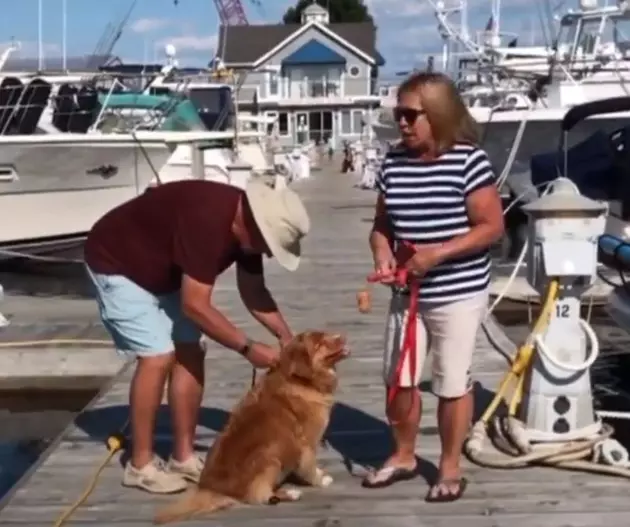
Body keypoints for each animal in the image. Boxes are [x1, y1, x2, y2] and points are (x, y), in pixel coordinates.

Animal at [154, 330, 350, 524]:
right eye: (319, 344)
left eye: (326, 335)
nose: (342, 336)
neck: (299, 380)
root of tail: (213, 489)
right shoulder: (306, 443)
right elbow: (310, 468)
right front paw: (320, 479)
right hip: (270, 455)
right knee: (260, 496)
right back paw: (290, 493)